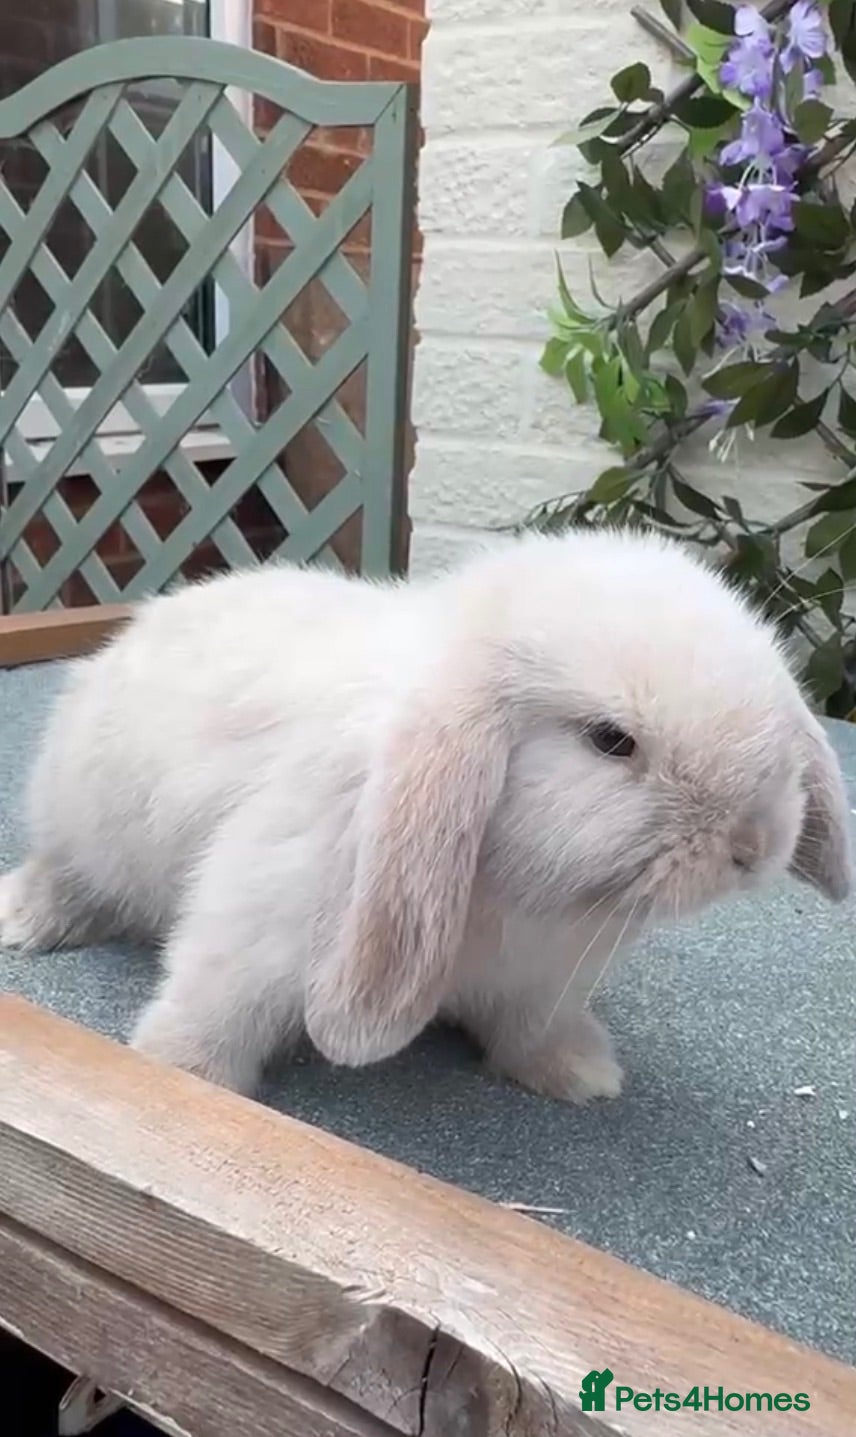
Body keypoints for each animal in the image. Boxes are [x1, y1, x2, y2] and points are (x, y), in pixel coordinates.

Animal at [0, 527, 851, 1104]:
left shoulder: (546, 981)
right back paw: (25, 917)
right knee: (72, 877)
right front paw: (181, 1072)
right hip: (83, 824)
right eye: (611, 740)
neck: (522, 895)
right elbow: (217, 1004)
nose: (753, 845)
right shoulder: (258, 916)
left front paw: (581, 1073)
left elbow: (534, 1029)